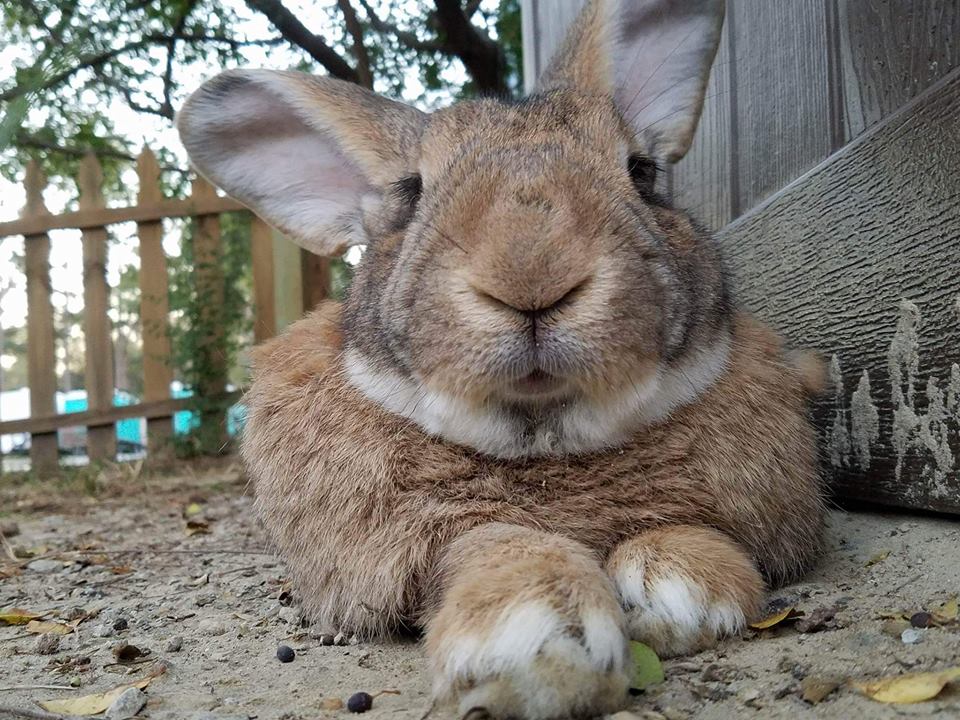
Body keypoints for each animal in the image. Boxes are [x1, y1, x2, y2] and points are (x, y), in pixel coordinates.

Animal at [177, 0, 826, 717]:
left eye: (641, 172)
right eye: (412, 192)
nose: (532, 274)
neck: (544, 446)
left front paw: (686, 590)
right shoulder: (428, 538)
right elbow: (495, 543)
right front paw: (539, 638)